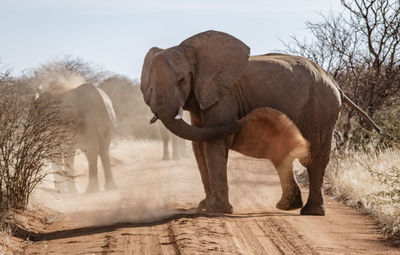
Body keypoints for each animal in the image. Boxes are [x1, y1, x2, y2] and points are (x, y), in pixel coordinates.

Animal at [141, 30, 382, 216]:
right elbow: (199, 147)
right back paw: (288, 207)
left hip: (322, 107)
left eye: (181, 80)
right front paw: (204, 207)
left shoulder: (223, 96)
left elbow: (214, 144)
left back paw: (311, 212)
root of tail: (335, 82)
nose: (258, 114)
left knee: (314, 156)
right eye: (149, 86)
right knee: (284, 155)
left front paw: (216, 211)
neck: (191, 49)